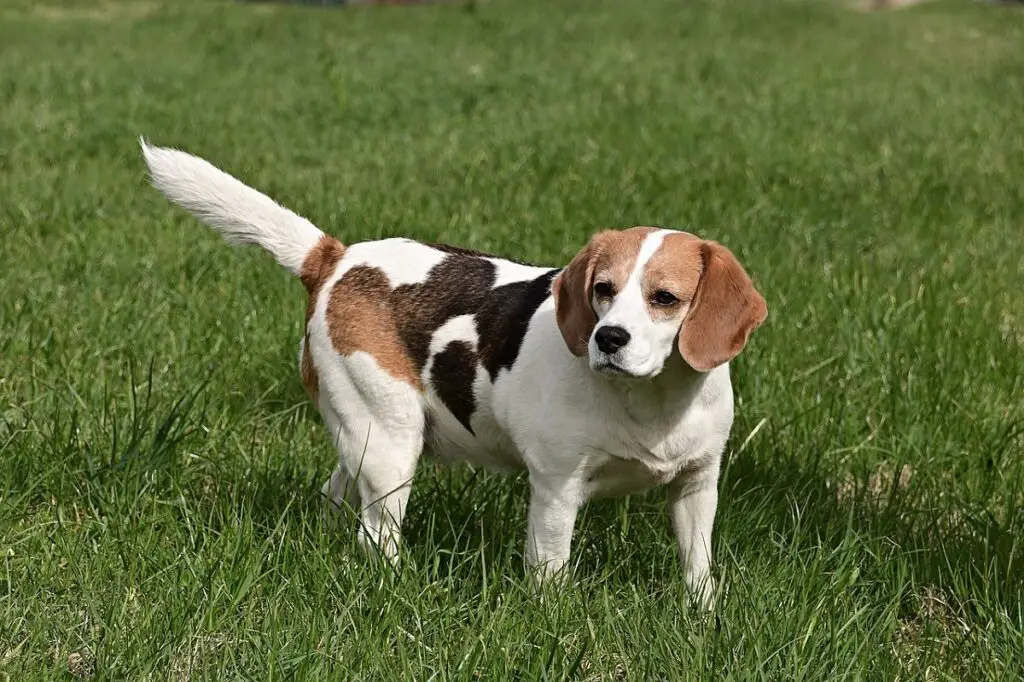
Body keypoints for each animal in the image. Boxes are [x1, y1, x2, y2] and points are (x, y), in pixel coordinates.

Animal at [142, 139, 770, 606]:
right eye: (603, 290)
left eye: (665, 298)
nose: (608, 338)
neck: (651, 401)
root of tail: (338, 258)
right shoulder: (557, 489)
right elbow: (550, 570)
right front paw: (552, 620)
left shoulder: (697, 485)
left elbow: (697, 566)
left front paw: (701, 615)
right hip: (390, 442)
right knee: (378, 535)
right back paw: (398, 586)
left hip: (360, 436)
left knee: (337, 495)